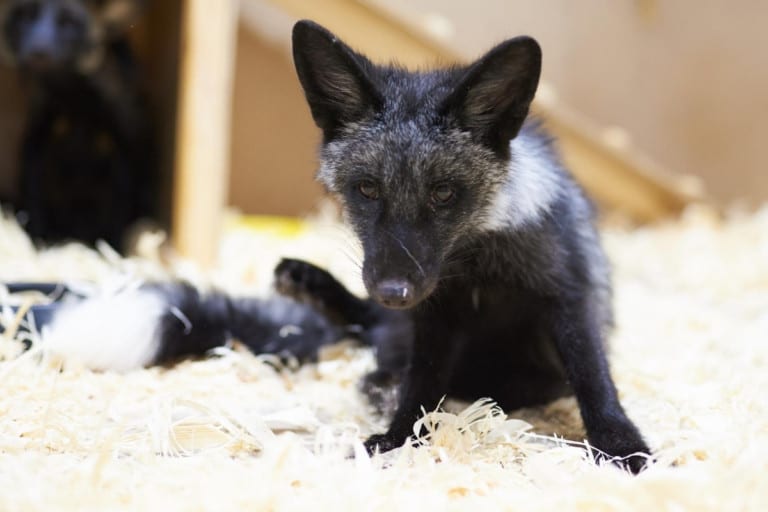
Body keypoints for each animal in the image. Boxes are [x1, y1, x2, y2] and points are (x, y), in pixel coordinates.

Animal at [1, 0, 155, 251]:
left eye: (70, 22)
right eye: (25, 16)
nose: (38, 52)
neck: (74, 93)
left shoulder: (124, 141)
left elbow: (121, 197)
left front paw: (115, 248)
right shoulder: (36, 134)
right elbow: (34, 189)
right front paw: (39, 241)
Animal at [290, 20, 651, 472]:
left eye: (443, 193)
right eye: (367, 189)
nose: (393, 293)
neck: (479, 264)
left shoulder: (569, 295)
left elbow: (594, 380)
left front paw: (623, 446)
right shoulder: (434, 315)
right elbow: (422, 385)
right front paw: (400, 437)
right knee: (374, 334)